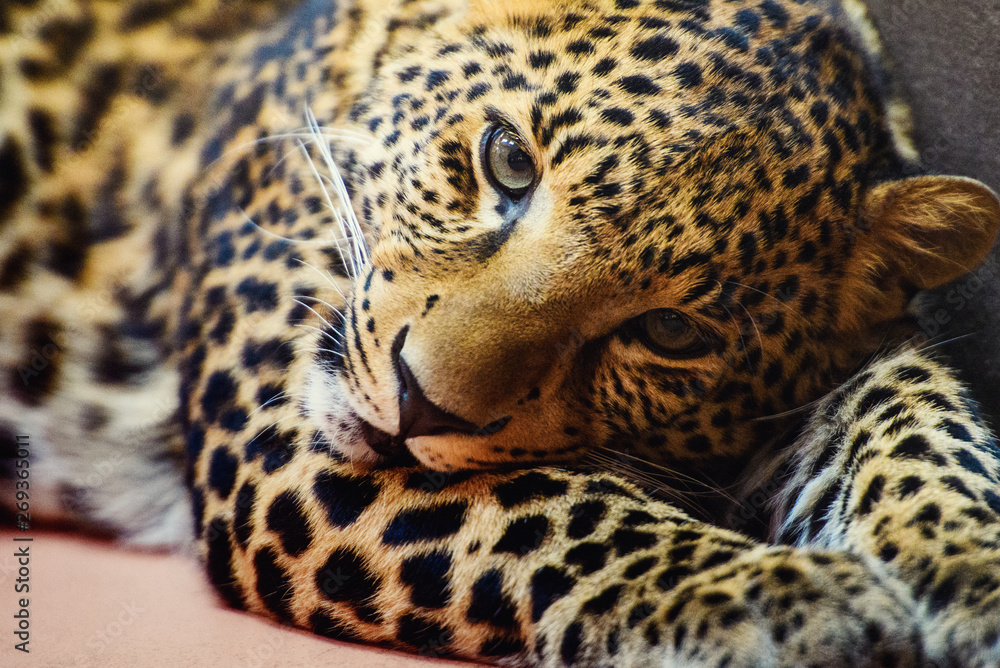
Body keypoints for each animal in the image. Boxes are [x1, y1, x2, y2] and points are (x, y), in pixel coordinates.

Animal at [2, 0, 1000, 666]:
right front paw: (779, 596)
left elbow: (914, 411)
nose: (418, 403)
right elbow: (554, 507)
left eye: (670, 332)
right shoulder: (282, 439)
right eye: (507, 160)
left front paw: (968, 570)